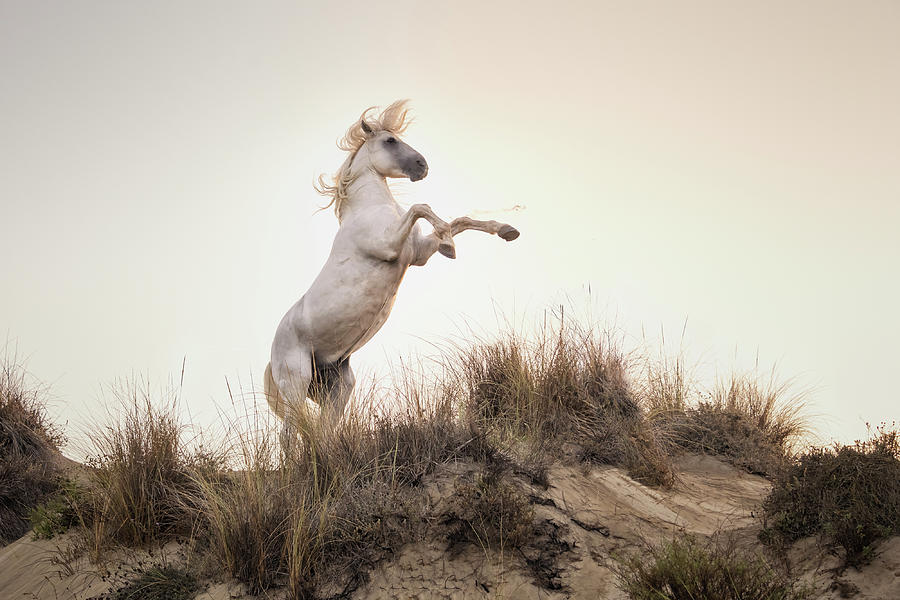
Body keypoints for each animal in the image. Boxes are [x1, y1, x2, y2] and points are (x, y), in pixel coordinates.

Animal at [264, 100, 519, 445]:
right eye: (390, 141)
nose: (422, 166)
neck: (369, 208)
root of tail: (273, 356)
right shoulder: (389, 246)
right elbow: (421, 207)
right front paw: (449, 245)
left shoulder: (417, 254)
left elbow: (459, 220)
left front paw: (505, 230)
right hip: (296, 381)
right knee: (290, 435)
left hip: (337, 386)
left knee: (322, 431)